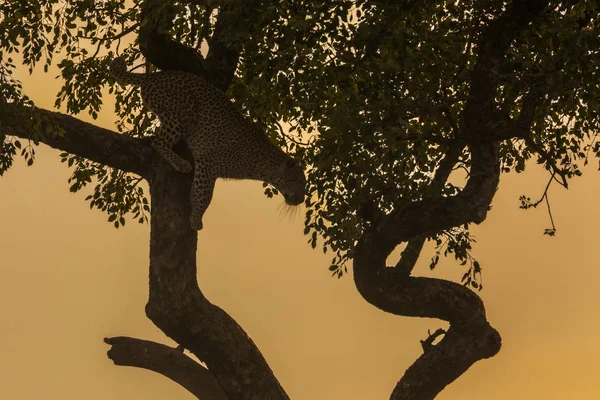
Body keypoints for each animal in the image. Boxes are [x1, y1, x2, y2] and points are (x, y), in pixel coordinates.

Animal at [109, 57, 304, 230]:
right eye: (298, 180)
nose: (301, 199)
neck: (264, 167)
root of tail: (153, 76)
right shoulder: (208, 164)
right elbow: (204, 196)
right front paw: (196, 219)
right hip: (184, 114)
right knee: (159, 142)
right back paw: (182, 164)